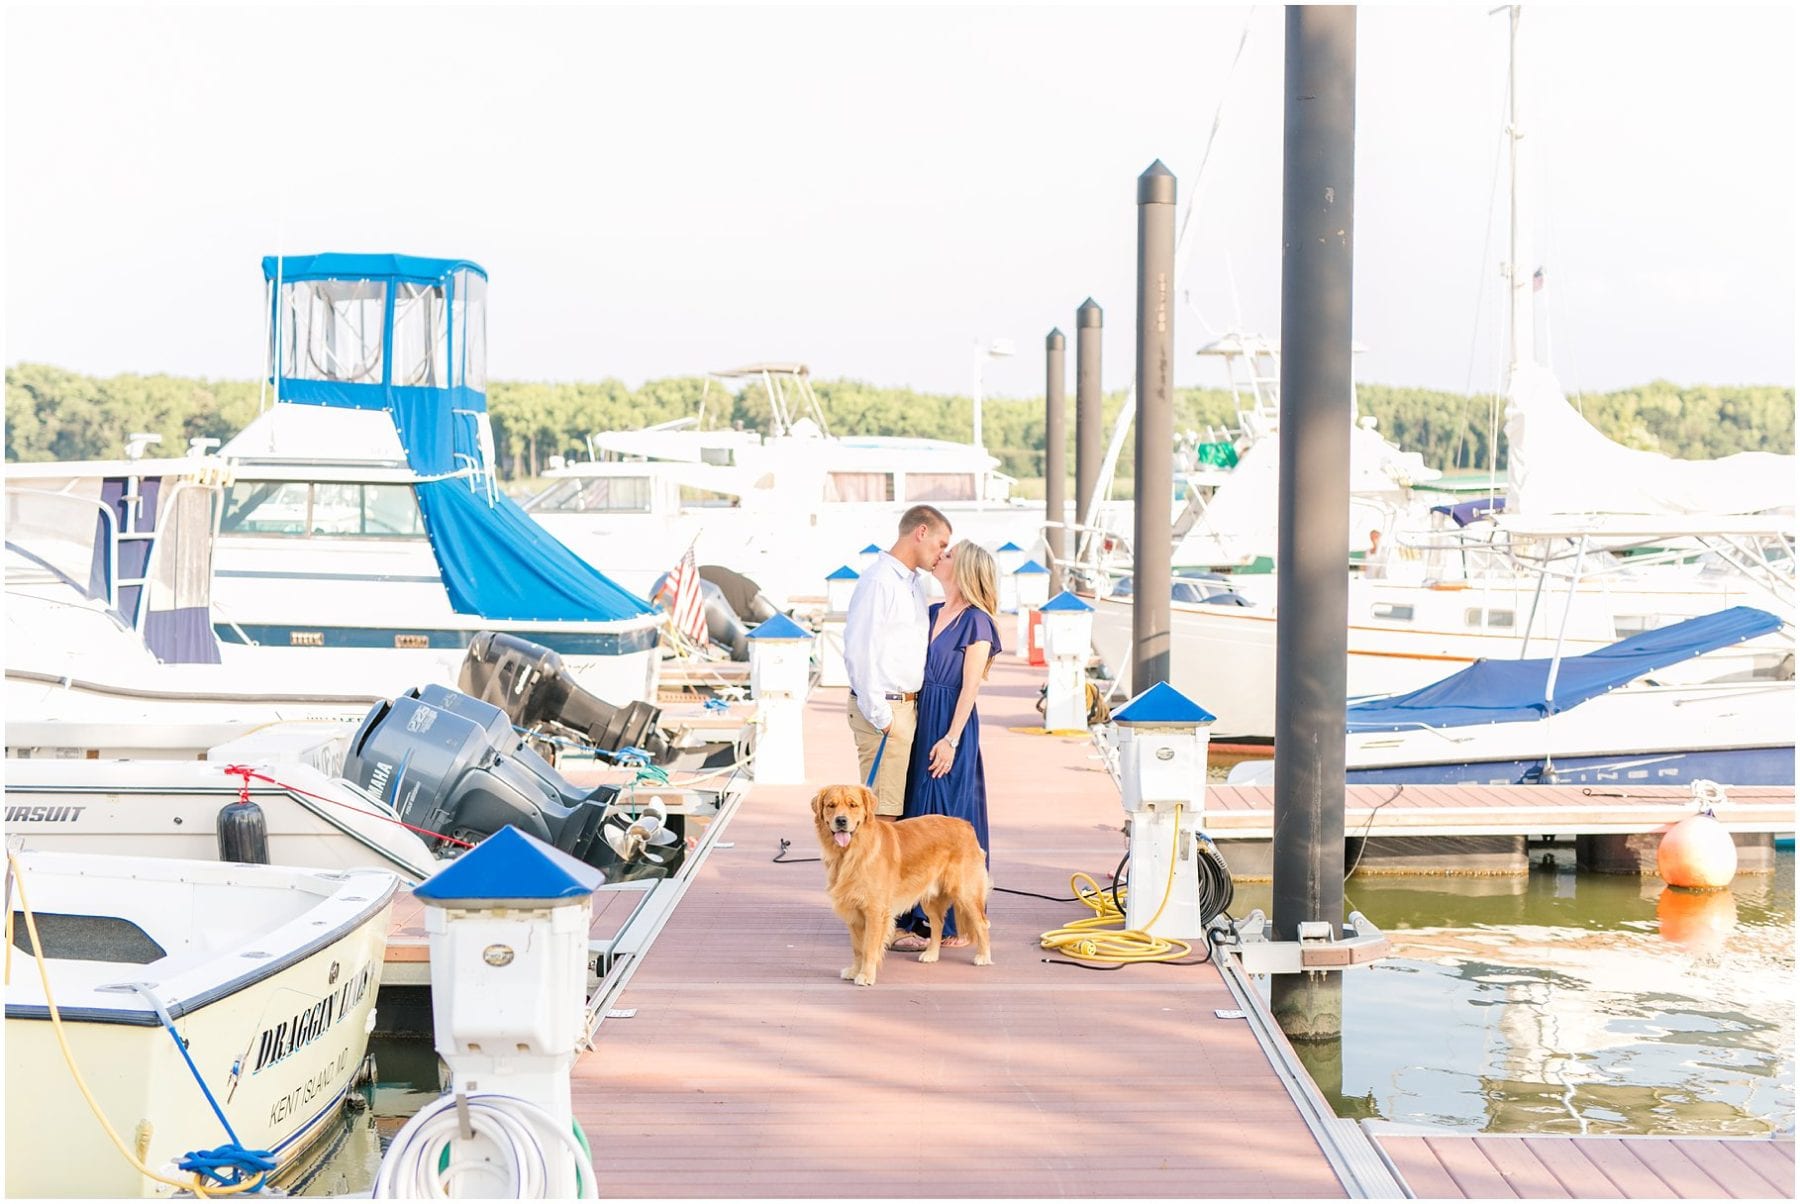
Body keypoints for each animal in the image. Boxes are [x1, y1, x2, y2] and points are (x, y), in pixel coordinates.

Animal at [810, 781, 993, 986]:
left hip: (966, 893)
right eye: (831, 805)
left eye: (853, 805)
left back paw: (983, 956)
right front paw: (855, 970)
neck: (853, 852)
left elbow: (868, 948)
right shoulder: (853, 910)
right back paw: (931, 954)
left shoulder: (875, 911)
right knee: (937, 923)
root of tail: (966, 824)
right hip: (930, 897)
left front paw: (866, 975)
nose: (841, 821)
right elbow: (858, 948)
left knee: (982, 923)